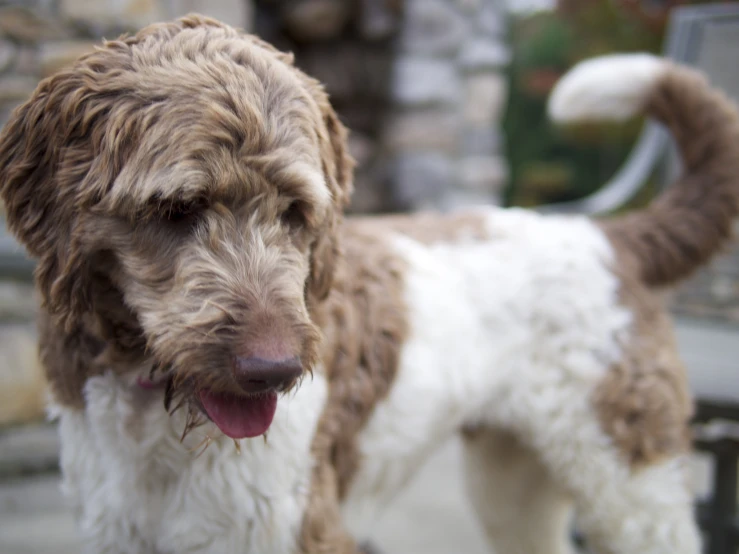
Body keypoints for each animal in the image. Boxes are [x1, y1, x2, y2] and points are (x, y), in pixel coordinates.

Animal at [1, 12, 739, 552]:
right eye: (176, 209)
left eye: (296, 211)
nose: (273, 371)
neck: (152, 413)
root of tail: (609, 237)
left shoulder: (292, 527)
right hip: (512, 477)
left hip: (631, 474)